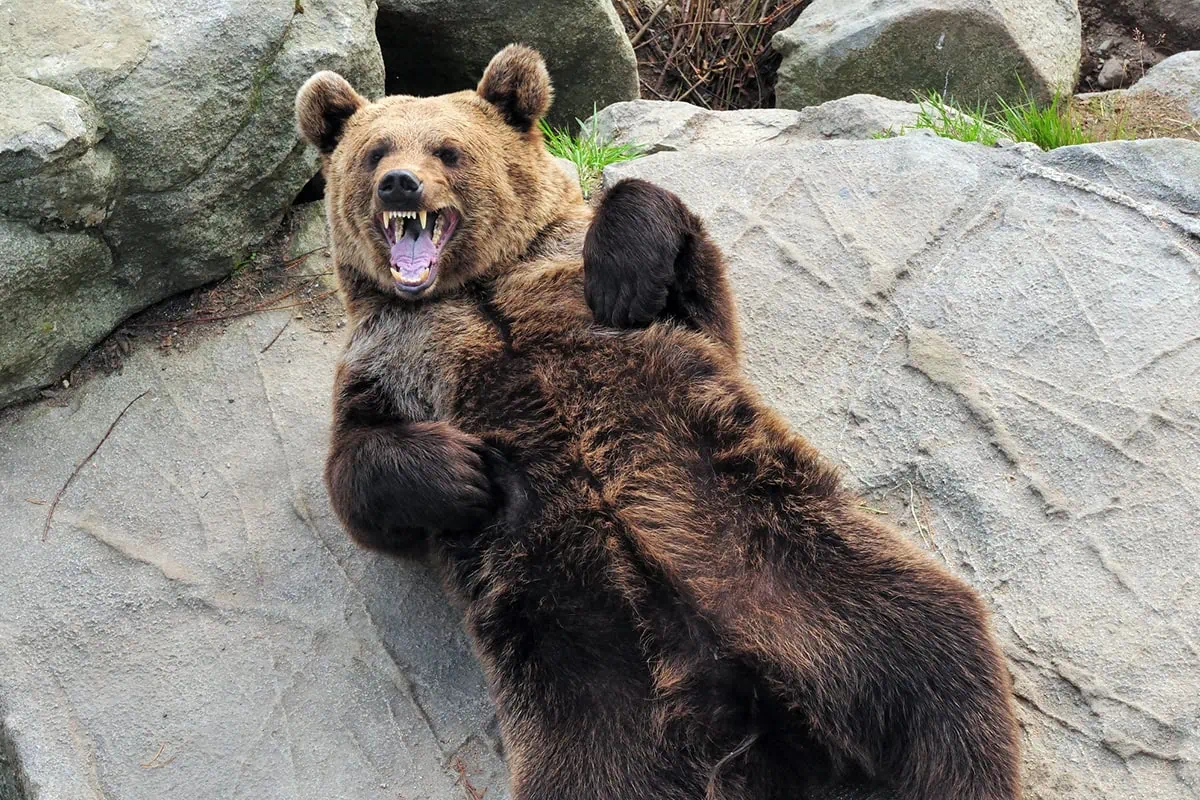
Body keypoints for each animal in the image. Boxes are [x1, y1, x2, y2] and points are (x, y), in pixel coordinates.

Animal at [295, 45, 1022, 800]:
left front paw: (621, 274)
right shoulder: (393, 359)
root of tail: (753, 717)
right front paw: (466, 471)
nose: (399, 185)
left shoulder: (593, 291)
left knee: (938, 675)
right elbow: (360, 475)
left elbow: (677, 265)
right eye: (375, 151)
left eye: (448, 149)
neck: (477, 290)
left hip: (813, 577)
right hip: (591, 691)